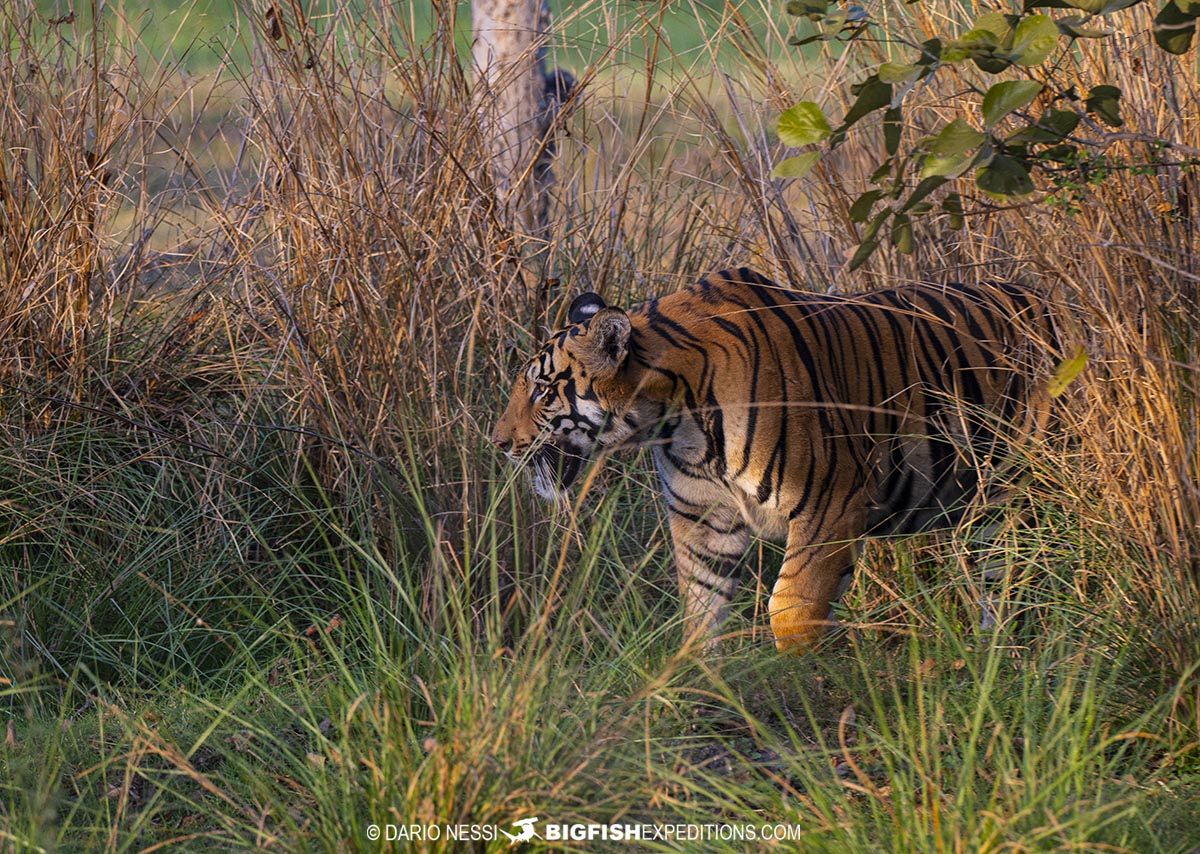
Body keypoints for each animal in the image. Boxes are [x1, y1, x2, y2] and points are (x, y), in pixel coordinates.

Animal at [489, 268, 1060, 652]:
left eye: (541, 391)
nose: (498, 443)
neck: (677, 423)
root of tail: (1052, 299)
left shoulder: (831, 502)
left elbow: (791, 609)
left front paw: (805, 686)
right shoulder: (703, 518)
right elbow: (701, 608)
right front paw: (699, 686)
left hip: (1025, 480)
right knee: (999, 576)